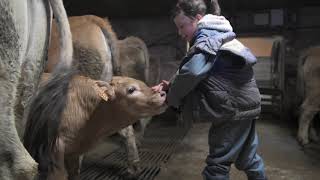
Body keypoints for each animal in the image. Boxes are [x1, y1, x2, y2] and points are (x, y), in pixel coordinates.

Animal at [24, 73, 168, 180]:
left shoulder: (73, 153)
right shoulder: (55, 146)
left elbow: (74, 173)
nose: (163, 93)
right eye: (131, 89)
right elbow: (59, 175)